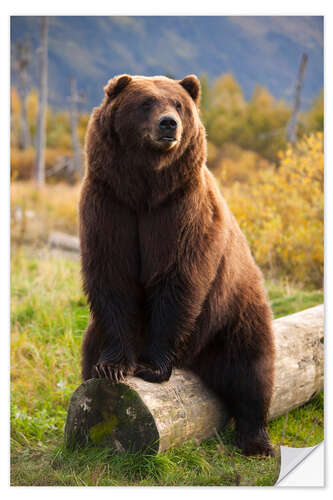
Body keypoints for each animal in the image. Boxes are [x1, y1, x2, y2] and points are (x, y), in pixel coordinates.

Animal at [79, 74, 274, 458]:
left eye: (179, 105)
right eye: (146, 103)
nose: (169, 124)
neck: (145, 188)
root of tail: (197, 361)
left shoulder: (181, 212)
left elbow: (178, 280)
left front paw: (152, 365)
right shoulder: (109, 206)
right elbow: (112, 278)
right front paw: (112, 366)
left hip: (232, 312)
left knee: (251, 368)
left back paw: (256, 440)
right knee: (88, 348)